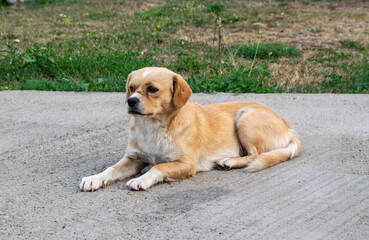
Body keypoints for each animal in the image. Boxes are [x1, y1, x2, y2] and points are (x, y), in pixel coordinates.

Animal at [80, 66, 300, 190]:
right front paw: (94, 179)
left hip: (245, 119)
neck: (154, 127)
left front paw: (142, 179)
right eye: (131, 88)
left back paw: (228, 161)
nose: (131, 101)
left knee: (256, 154)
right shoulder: (133, 159)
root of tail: (287, 124)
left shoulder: (186, 163)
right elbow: (110, 169)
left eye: (152, 89)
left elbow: (159, 167)